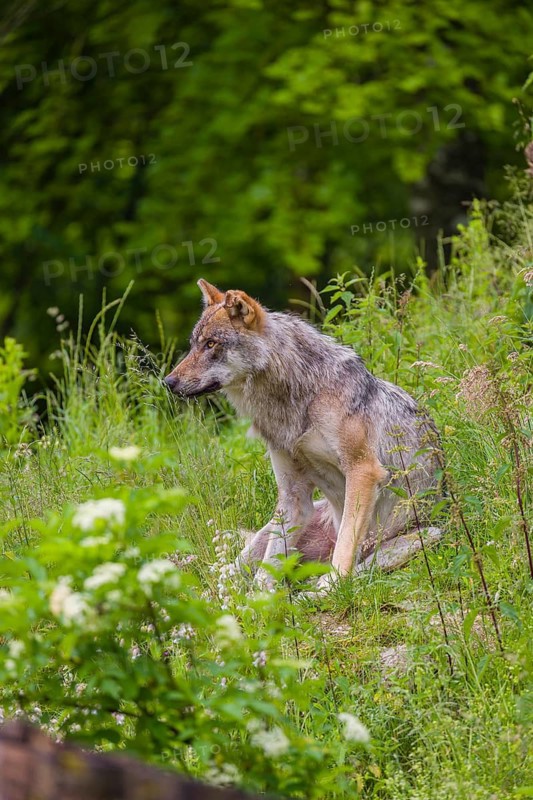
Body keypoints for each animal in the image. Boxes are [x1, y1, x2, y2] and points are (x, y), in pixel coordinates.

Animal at [165, 279, 443, 593]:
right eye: (193, 345)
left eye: (211, 344)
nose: (168, 382)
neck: (300, 399)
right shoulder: (293, 496)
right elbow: (266, 572)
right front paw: (260, 602)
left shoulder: (363, 470)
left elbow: (345, 546)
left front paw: (334, 583)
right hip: (267, 534)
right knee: (227, 580)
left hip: (427, 534)